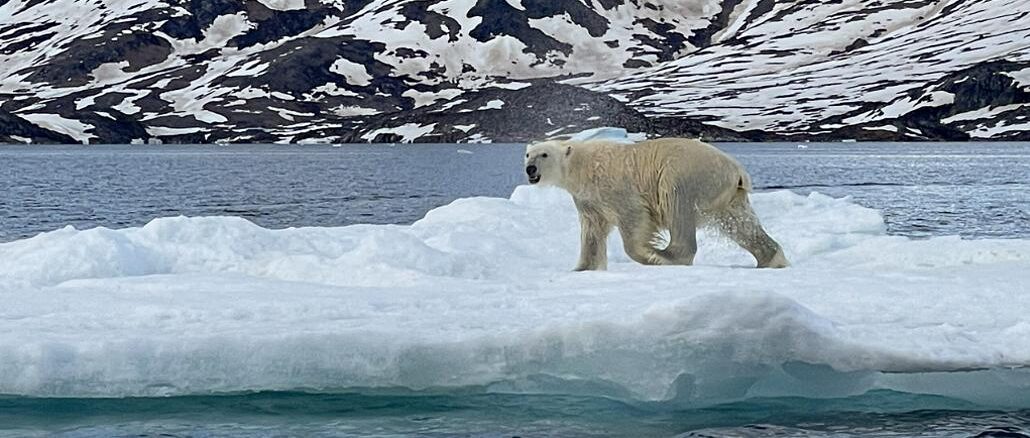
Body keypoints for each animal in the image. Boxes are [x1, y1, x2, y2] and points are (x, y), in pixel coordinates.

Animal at [523, 137, 789, 271]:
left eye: (544, 154)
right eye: (528, 154)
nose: (530, 169)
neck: (581, 164)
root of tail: (737, 170)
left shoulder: (615, 186)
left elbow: (633, 217)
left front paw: (648, 252)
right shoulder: (587, 199)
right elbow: (592, 231)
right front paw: (582, 268)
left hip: (685, 173)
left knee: (676, 205)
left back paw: (665, 256)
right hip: (727, 196)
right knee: (740, 224)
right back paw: (771, 259)